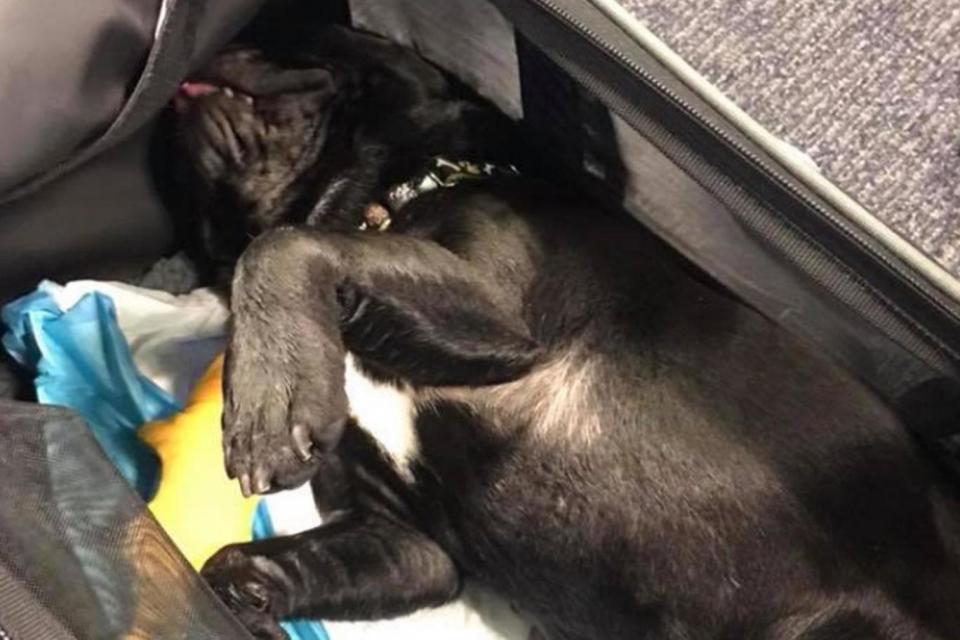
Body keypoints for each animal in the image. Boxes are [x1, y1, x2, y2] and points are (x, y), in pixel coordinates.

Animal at [165, 25, 960, 640]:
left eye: (289, 33)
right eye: (202, 230)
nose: (217, 48)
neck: (387, 192)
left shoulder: (500, 314)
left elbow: (289, 244)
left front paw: (263, 399)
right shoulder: (407, 539)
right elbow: (261, 560)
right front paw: (238, 598)